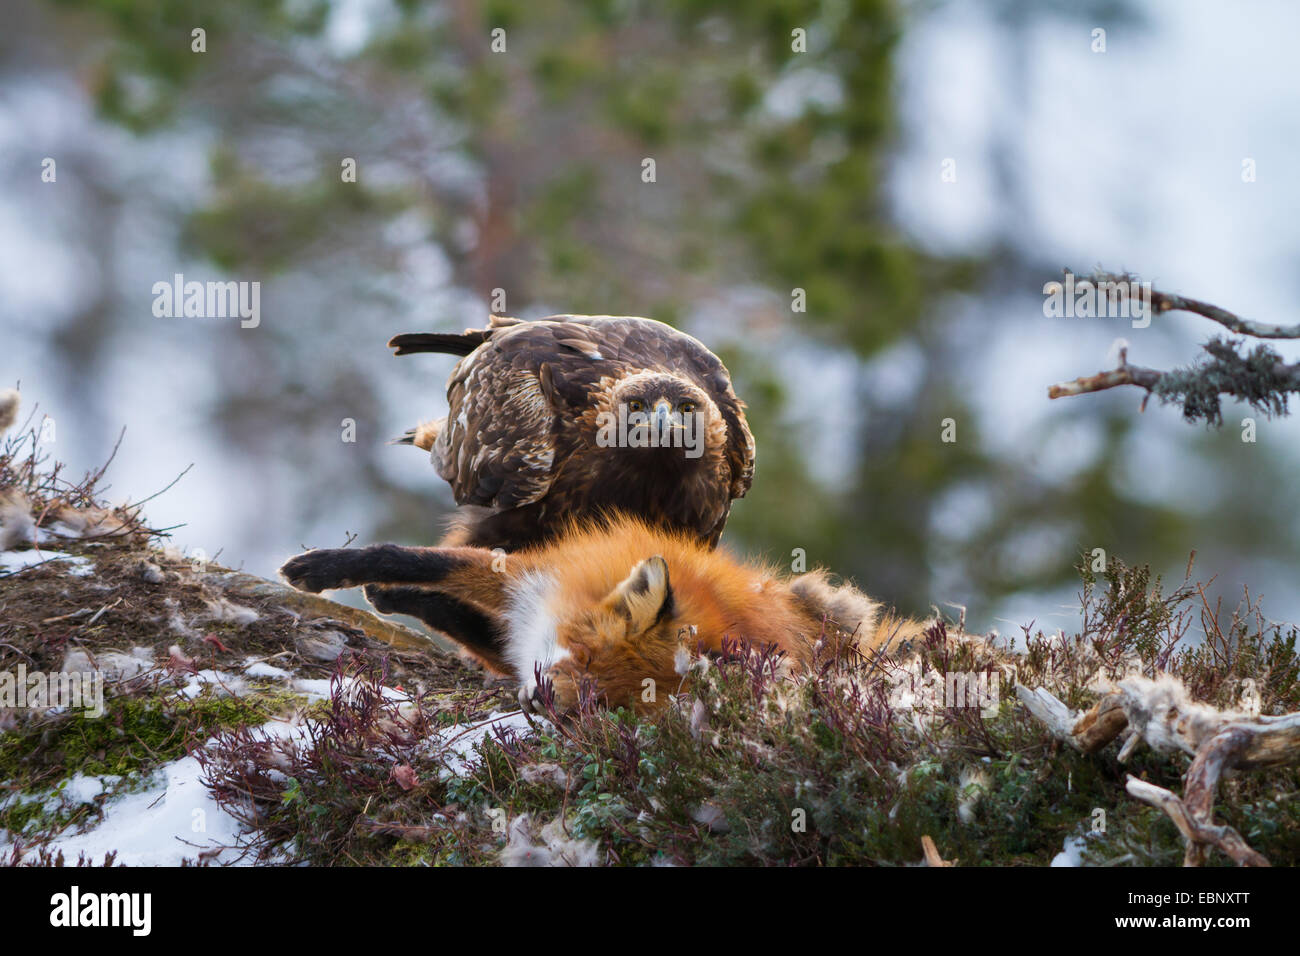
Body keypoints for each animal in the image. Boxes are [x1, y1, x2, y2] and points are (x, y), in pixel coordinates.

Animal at [279, 515, 924, 714]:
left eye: (610, 703)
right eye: (585, 656)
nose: (543, 704)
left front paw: (388, 596)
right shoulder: (534, 578)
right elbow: (418, 560)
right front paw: (325, 570)